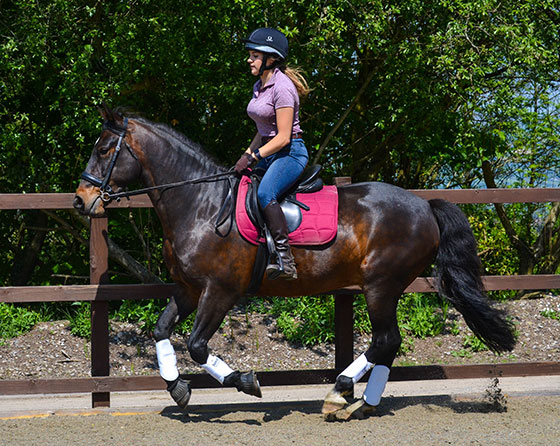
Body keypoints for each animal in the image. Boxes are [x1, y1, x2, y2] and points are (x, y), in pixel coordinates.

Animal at [74, 106, 516, 420]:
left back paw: (341, 395)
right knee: (388, 343)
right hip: (382, 288)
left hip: (381, 285)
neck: (201, 205)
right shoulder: (188, 289)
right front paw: (178, 388)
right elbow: (161, 330)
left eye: (103, 150)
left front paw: (246, 382)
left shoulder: (221, 291)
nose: (81, 200)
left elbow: (197, 345)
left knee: (386, 340)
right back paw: (357, 401)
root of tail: (425, 206)